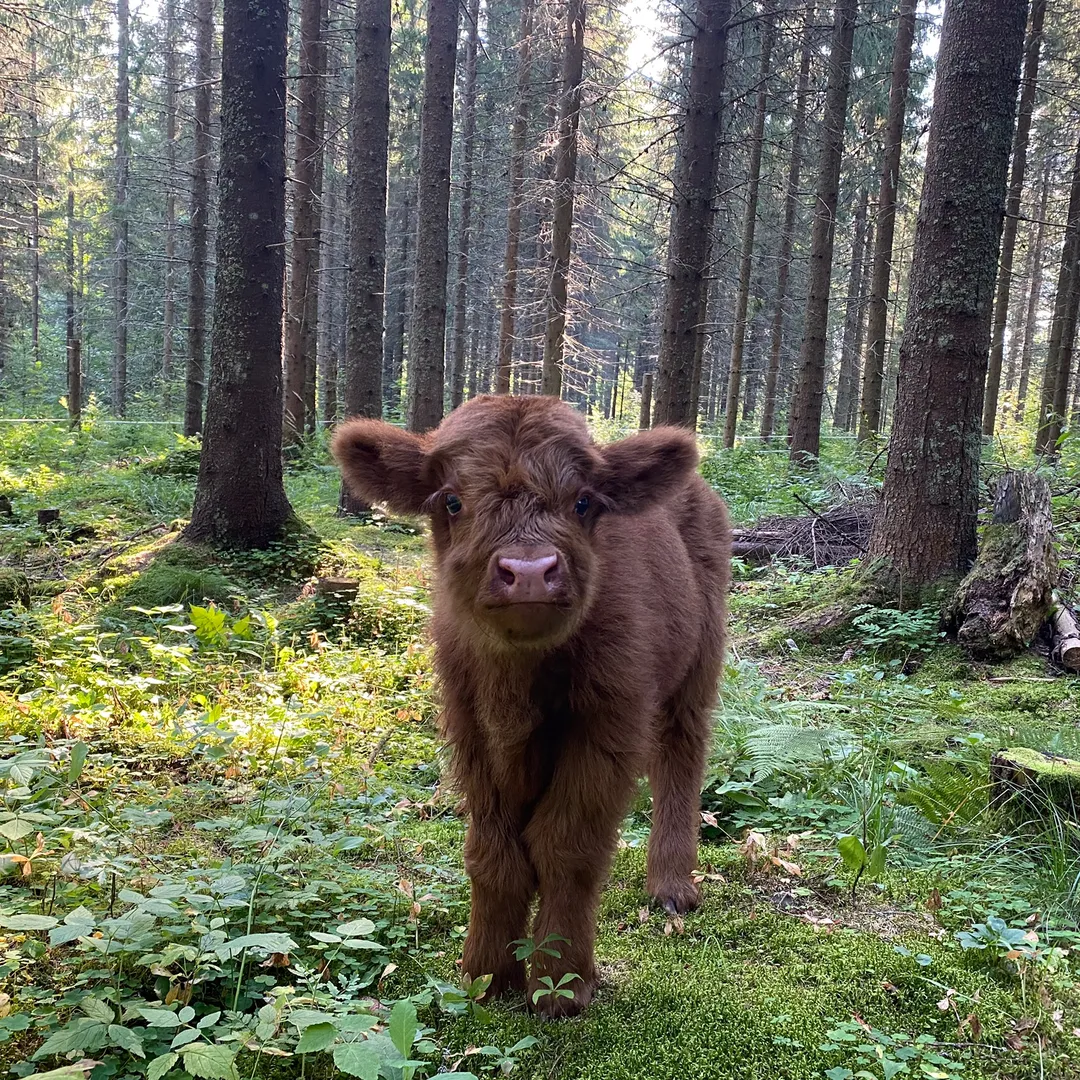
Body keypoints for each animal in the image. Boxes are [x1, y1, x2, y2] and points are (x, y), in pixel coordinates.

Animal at [333, 394, 730, 1017]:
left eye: (583, 501)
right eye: (452, 499)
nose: (528, 573)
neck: (515, 687)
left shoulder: (608, 725)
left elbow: (566, 846)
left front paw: (560, 984)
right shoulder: (472, 730)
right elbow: (493, 854)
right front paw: (486, 974)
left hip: (698, 668)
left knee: (682, 759)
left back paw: (671, 886)